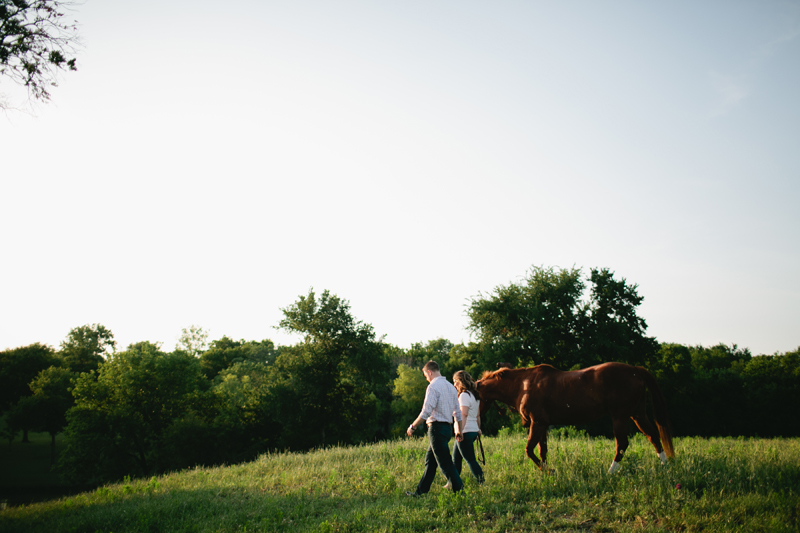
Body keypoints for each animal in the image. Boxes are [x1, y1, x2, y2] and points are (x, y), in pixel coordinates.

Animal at [476, 362, 676, 470]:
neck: (523, 385)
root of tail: (635, 370)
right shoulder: (543, 426)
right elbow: (542, 451)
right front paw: (546, 472)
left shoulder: (537, 423)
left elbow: (529, 450)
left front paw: (547, 471)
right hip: (637, 414)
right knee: (653, 436)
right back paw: (665, 466)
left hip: (620, 417)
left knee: (622, 444)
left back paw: (610, 472)